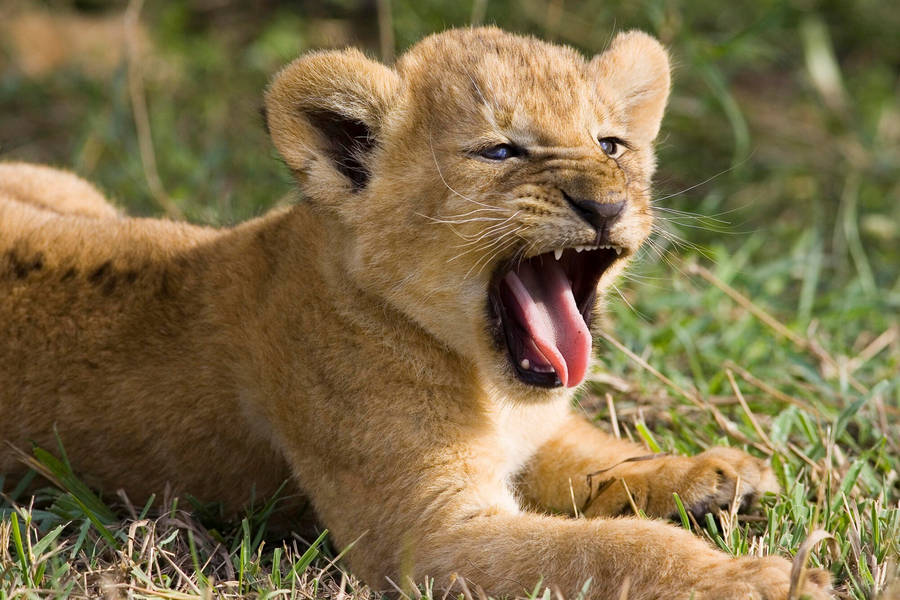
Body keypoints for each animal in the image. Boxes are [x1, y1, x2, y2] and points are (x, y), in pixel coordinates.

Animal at [0, 27, 831, 599]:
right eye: (500, 152)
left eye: (610, 144)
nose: (605, 205)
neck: (487, 381)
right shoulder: (423, 538)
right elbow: (612, 549)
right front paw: (766, 579)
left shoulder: (533, 433)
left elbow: (596, 455)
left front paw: (710, 472)